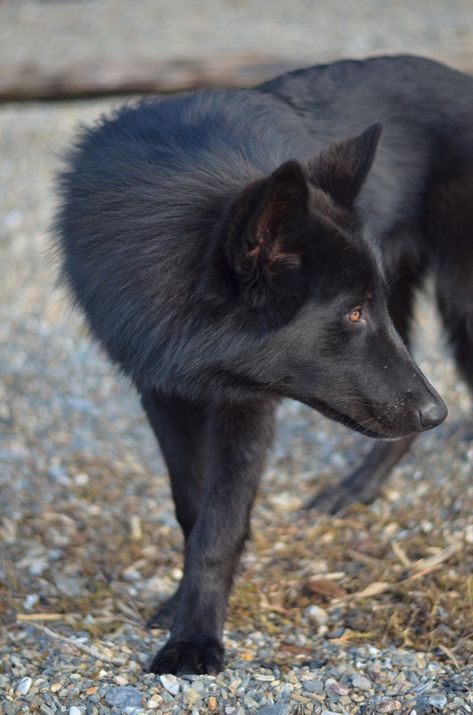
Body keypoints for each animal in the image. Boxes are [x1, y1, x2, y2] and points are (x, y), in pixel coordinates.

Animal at [53, 54, 472, 672]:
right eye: (352, 314)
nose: (436, 413)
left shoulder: (245, 405)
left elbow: (221, 526)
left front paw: (195, 638)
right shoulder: (164, 394)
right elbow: (193, 509)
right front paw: (181, 604)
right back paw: (358, 488)